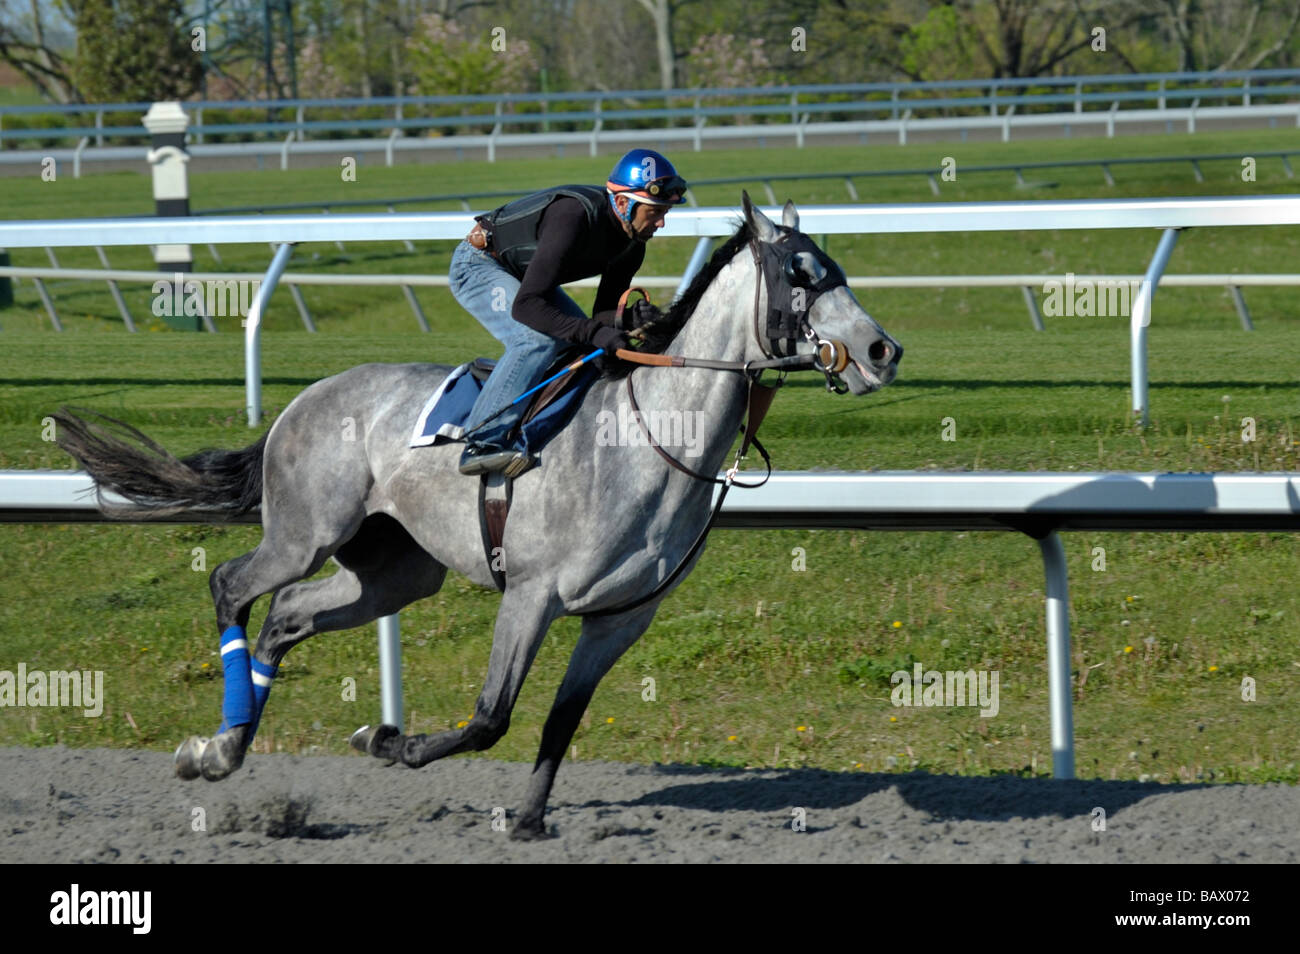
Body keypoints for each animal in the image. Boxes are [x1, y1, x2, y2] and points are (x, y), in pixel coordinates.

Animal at [52, 193, 902, 840]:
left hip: (393, 573)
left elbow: (560, 722)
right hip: (305, 533)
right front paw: (389, 741)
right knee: (233, 585)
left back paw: (227, 747)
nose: (883, 350)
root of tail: (306, 398)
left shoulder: (620, 619)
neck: (647, 440)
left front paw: (526, 820)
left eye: (836, 269)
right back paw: (216, 749)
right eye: (800, 274)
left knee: (288, 614)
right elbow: (492, 716)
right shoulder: (531, 594)